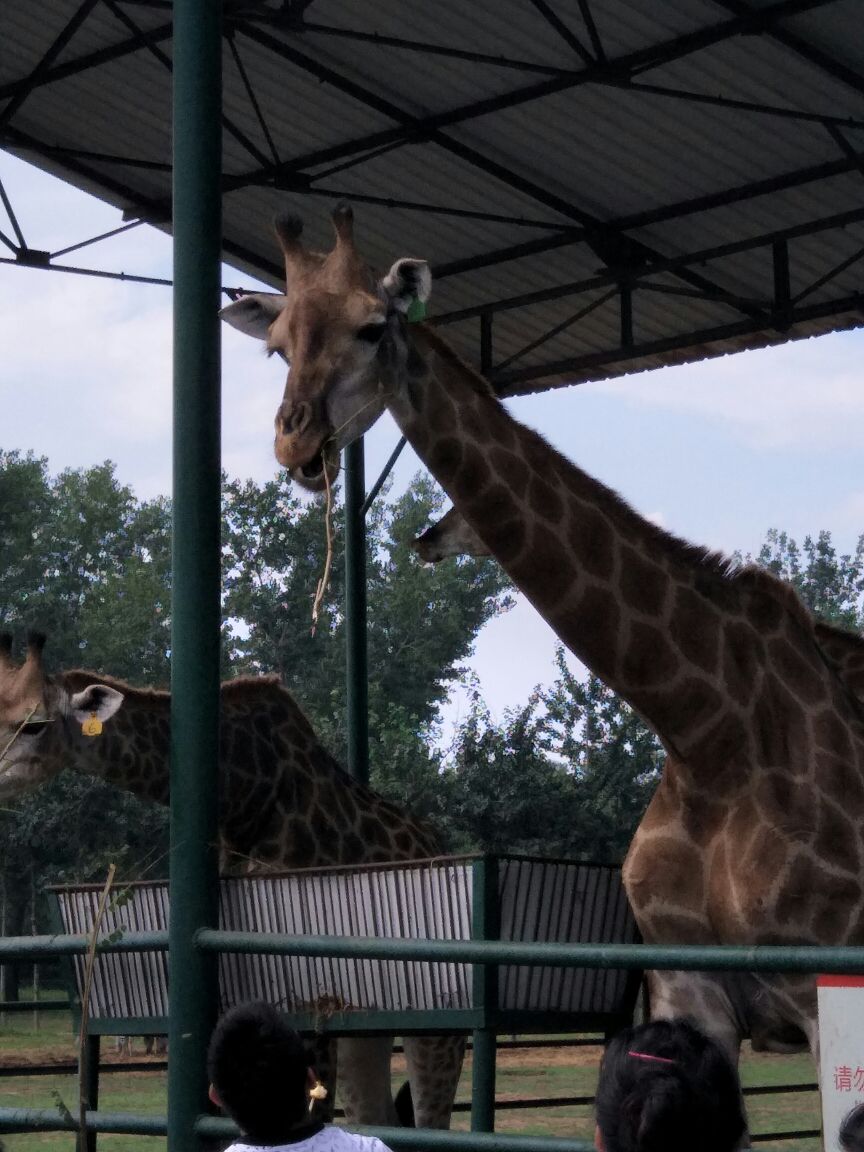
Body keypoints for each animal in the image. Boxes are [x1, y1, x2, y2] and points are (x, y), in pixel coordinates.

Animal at [221, 205, 864, 1059]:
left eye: (370, 328)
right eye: (278, 346)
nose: (296, 442)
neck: (706, 728)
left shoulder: (825, 990)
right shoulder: (687, 986)